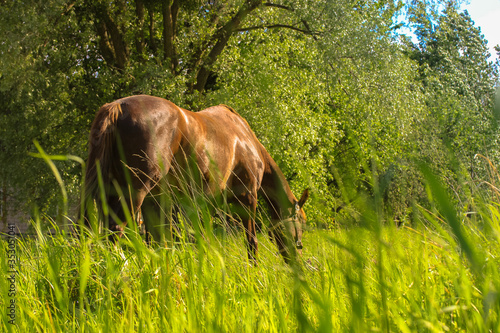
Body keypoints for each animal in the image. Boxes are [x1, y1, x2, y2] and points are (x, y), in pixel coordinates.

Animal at [83, 94, 308, 262]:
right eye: (301, 222)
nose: (296, 257)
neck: (246, 139)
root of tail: (117, 107)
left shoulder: (205, 203)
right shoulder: (247, 197)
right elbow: (251, 242)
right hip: (135, 193)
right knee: (115, 232)